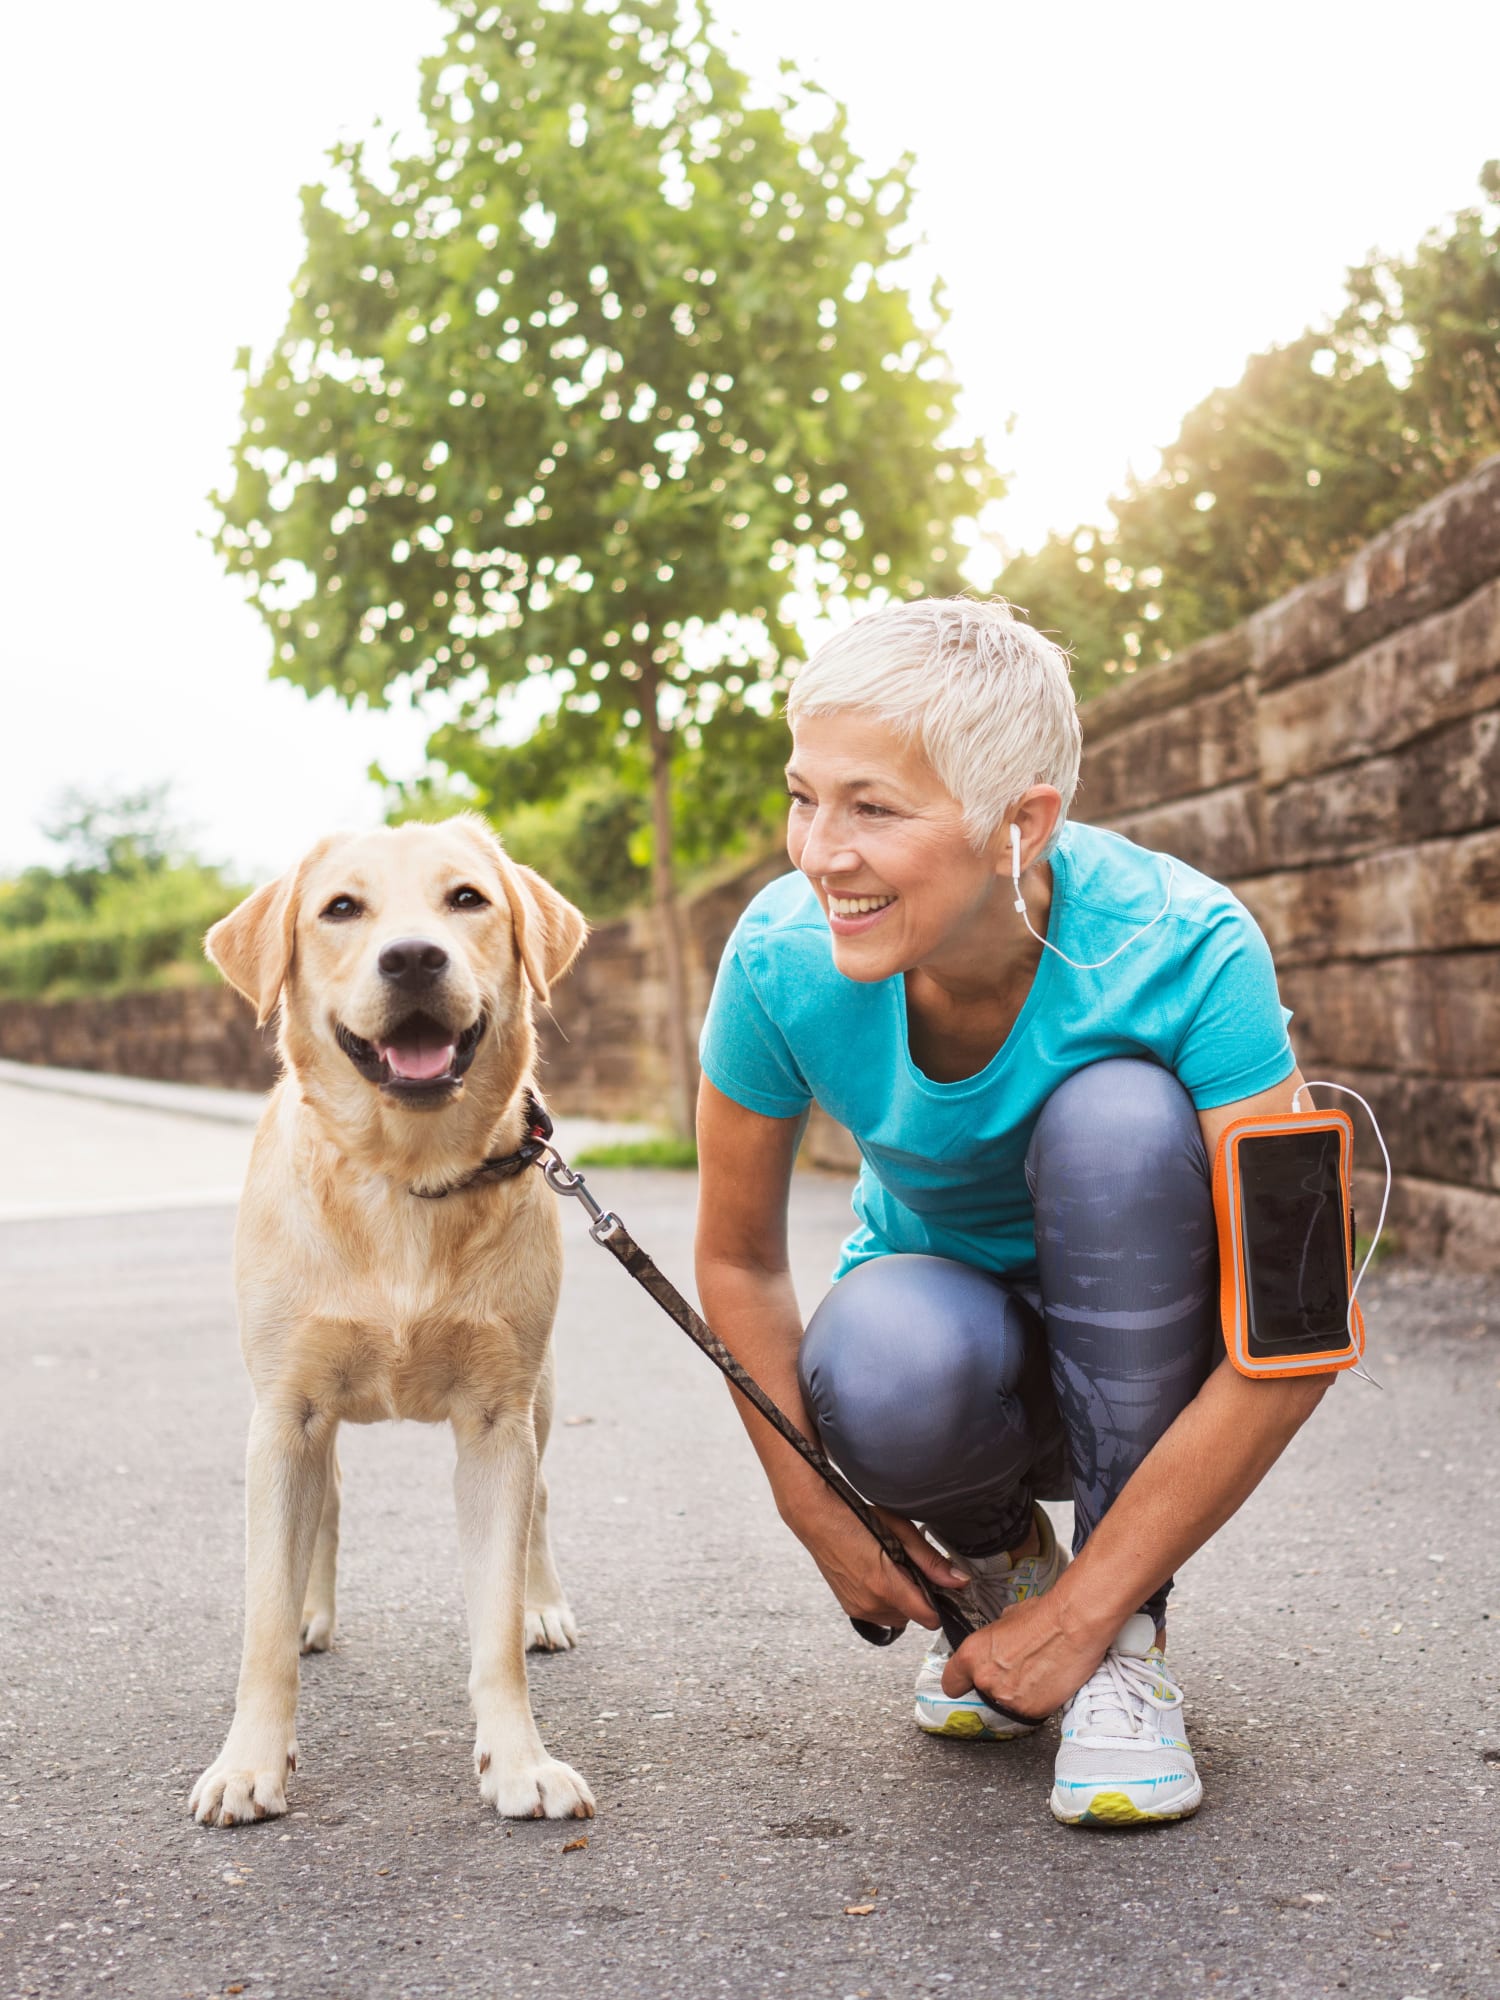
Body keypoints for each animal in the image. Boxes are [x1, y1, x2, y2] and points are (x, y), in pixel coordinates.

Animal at [184, 812, 592, 1832]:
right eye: (341, 909)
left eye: (467, 899)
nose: (412, 958)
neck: (408, 1179)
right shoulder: (284, 1413)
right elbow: (261, 1622)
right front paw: (251, 1761)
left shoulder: (494, 1419)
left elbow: (494, 1622)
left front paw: (519, 1761)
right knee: (324, 1502)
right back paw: (310, 1609)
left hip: (541, 1396)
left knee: (540, 1502)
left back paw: (543, 1603)